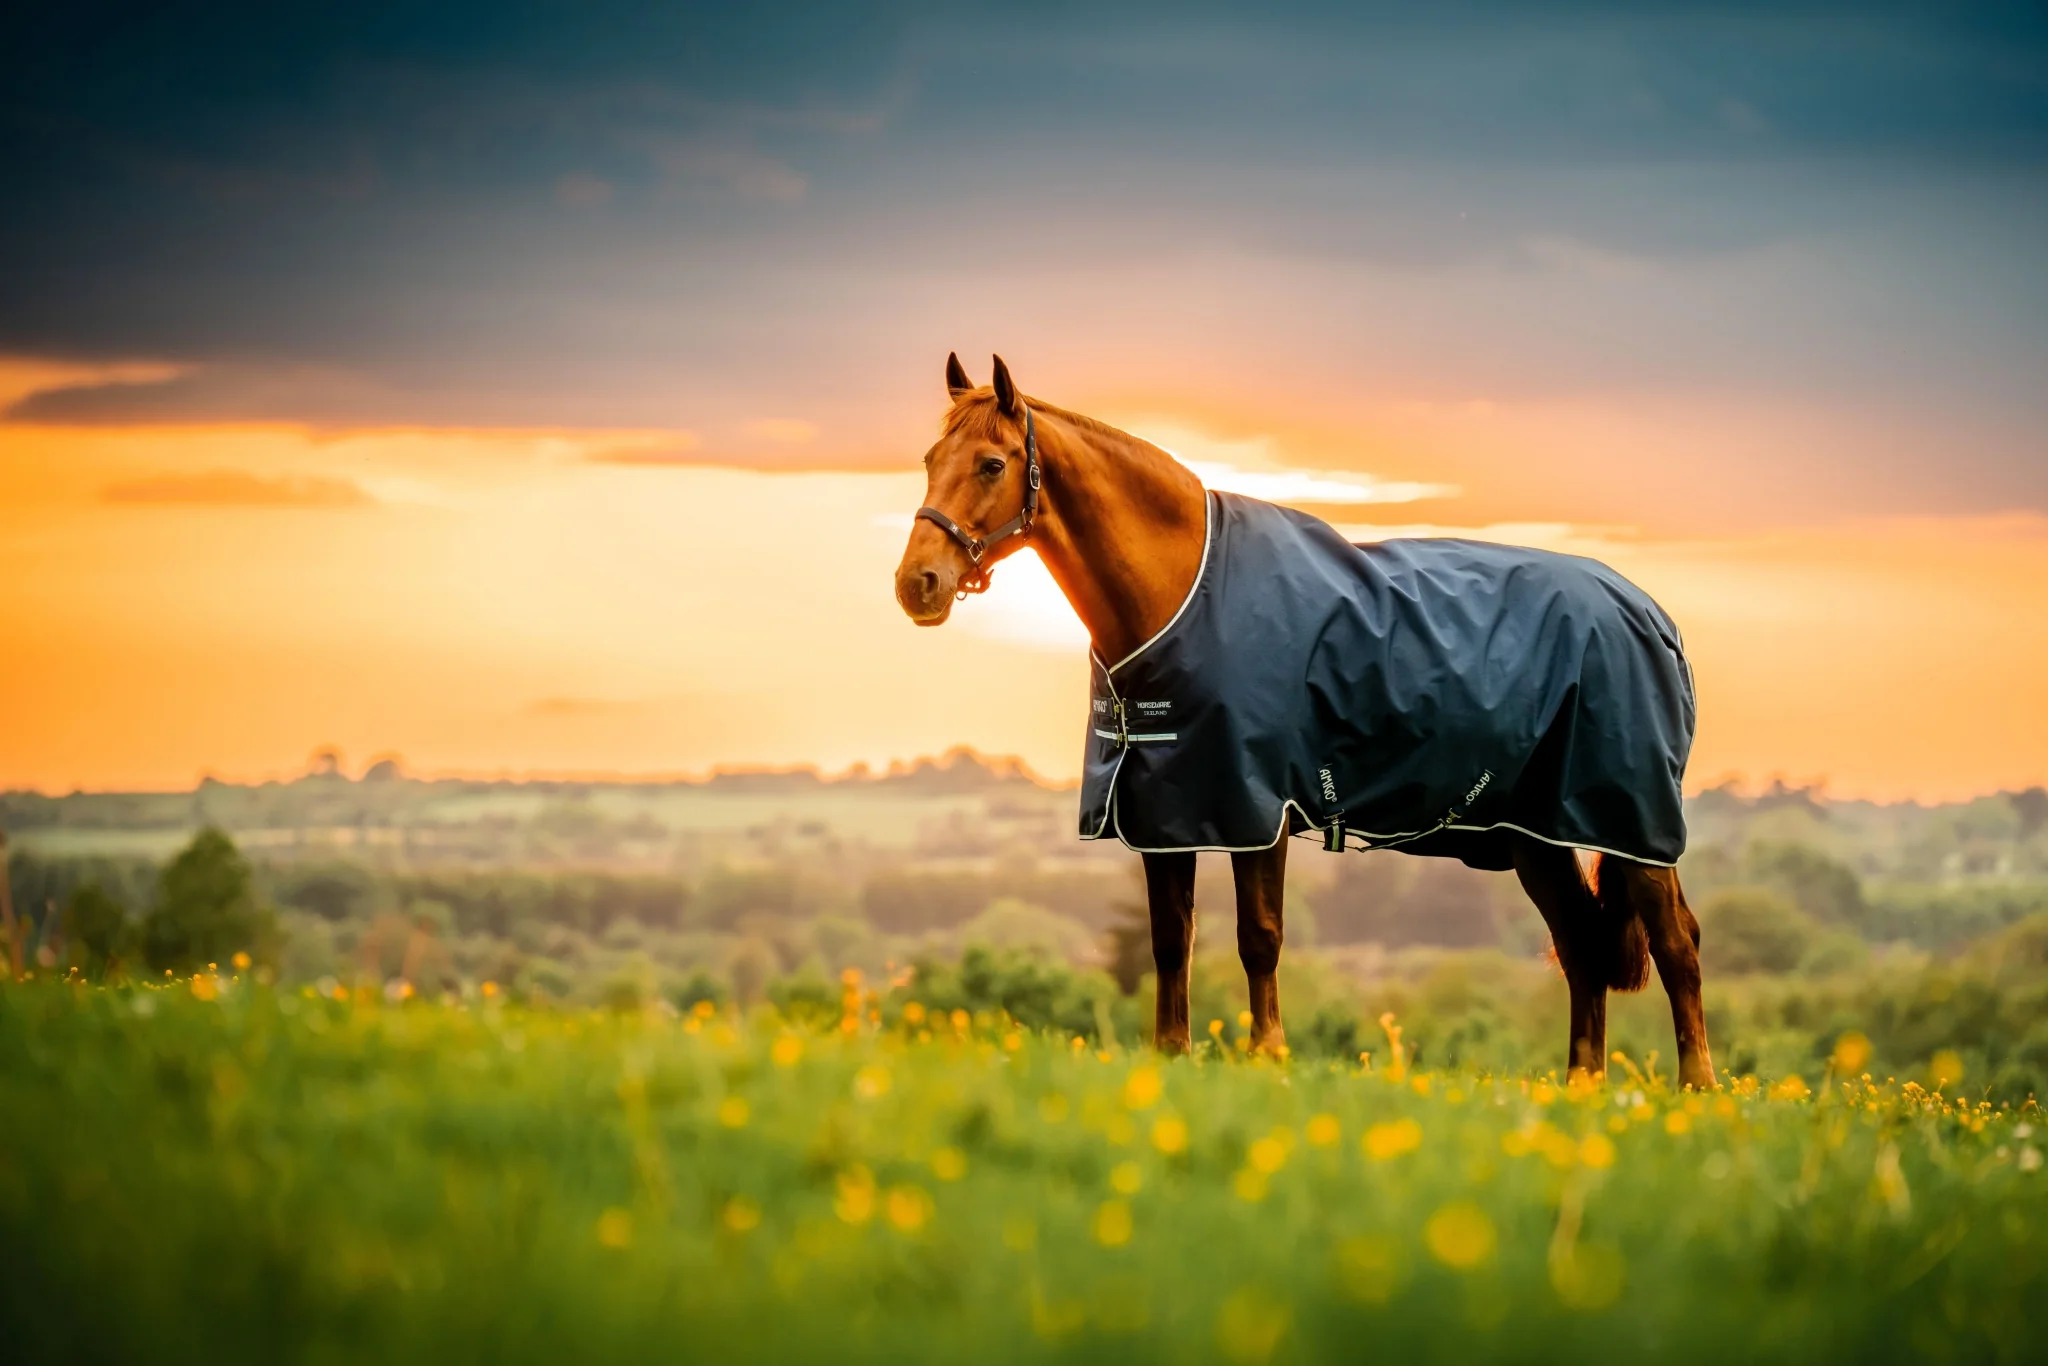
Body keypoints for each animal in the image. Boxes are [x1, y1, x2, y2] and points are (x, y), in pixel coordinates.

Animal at [894, 353, 1716, 1089]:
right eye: (931, 458)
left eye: (992, 464)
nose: (916, 584)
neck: (1184, 593)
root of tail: (1652, 616)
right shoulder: (1165, 811)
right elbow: (1170, 941)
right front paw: (1172, 1055)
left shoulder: (1257, 807)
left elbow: (1259, 937)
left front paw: (1269, 1055)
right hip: (1533, 834)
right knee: (1581, 944)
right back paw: (1583, 1087)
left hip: (1634, 823)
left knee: (1677, 943)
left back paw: (1698, 1089)